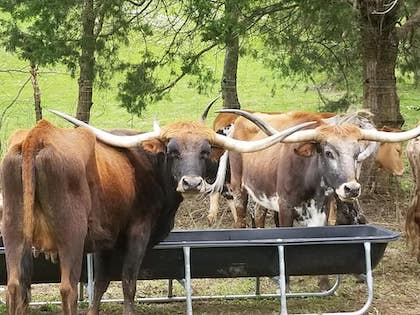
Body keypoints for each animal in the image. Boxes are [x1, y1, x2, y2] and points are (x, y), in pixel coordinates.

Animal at [0, 109, 312, 315]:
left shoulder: (105, 241)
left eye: (205, 150)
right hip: (70, 236)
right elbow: (128, 283)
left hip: (15, 231)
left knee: (16, 285)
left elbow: (100, 284)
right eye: (173, 150)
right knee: (67, 288)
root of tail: (37, 135)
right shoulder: (137, 233)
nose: (191, 183)